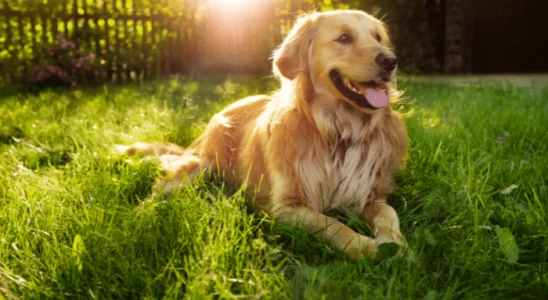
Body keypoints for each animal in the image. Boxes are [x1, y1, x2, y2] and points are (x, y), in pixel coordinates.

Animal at [116, 9, 406, 260]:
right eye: (344, 38)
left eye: (378, 37)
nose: (391, 61)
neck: (338, 131)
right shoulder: (284, 207)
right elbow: (332, 223)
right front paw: (364, 246)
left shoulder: (371, 194)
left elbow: (388, 212)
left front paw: (396, 244)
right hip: (201, 165)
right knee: (158, 189)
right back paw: (141, 215)